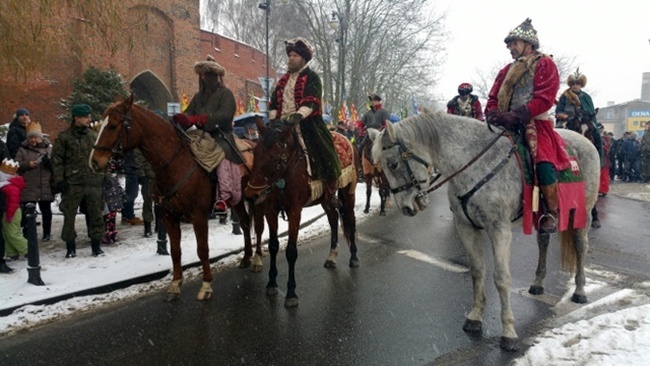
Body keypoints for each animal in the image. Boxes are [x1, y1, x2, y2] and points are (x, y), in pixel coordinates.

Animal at [90, 94, 264, 304]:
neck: (174, 163)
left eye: (113, 126)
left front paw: (206, 285)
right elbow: (174, 250)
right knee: (245, 223)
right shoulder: (169, 216)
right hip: (237, 200)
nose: (94, 162)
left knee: (259, 227)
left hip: (256, 198)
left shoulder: (199, 216)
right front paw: (175, 285)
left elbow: (202, 249)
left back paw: (257, 259)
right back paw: (246, 258)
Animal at [244, 118, 360, 308]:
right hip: (325, 199)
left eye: (273, 158)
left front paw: (291, 292)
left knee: (350, 220)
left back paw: (354, 258)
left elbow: (291, 250)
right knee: (334, 219)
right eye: (255, 152)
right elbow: (273, 245)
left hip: (348, 190)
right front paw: (271, 283)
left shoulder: (294, 211)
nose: (250, 195)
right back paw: (331, 257)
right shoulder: (270, 210)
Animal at [370, 111, 596, 352]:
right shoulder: (466, 228)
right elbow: (477, 271)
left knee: (581, 246)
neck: (473, 165)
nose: (406, 207)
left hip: (582, 214)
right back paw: (537, 283)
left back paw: (580, 291)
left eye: (393, 163)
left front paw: (509, 332)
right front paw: (475, 317)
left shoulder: (499, 229)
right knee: (543, 241)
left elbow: (502, 278)